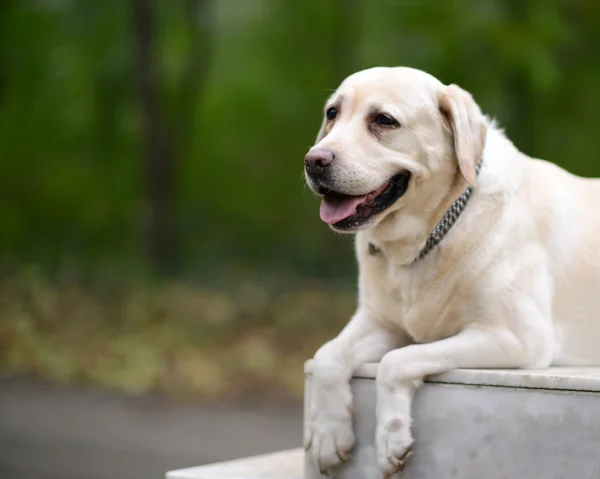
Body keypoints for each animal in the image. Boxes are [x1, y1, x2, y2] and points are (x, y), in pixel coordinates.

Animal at [304, 65, 600, 478]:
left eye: (384, 120)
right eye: (333, 114)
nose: (313, 160)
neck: (426, 238)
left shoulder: (517, 338)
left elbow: (396, 361)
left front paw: (390, 437)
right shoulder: (381, 322)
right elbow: (327, 353)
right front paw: (328, 433)